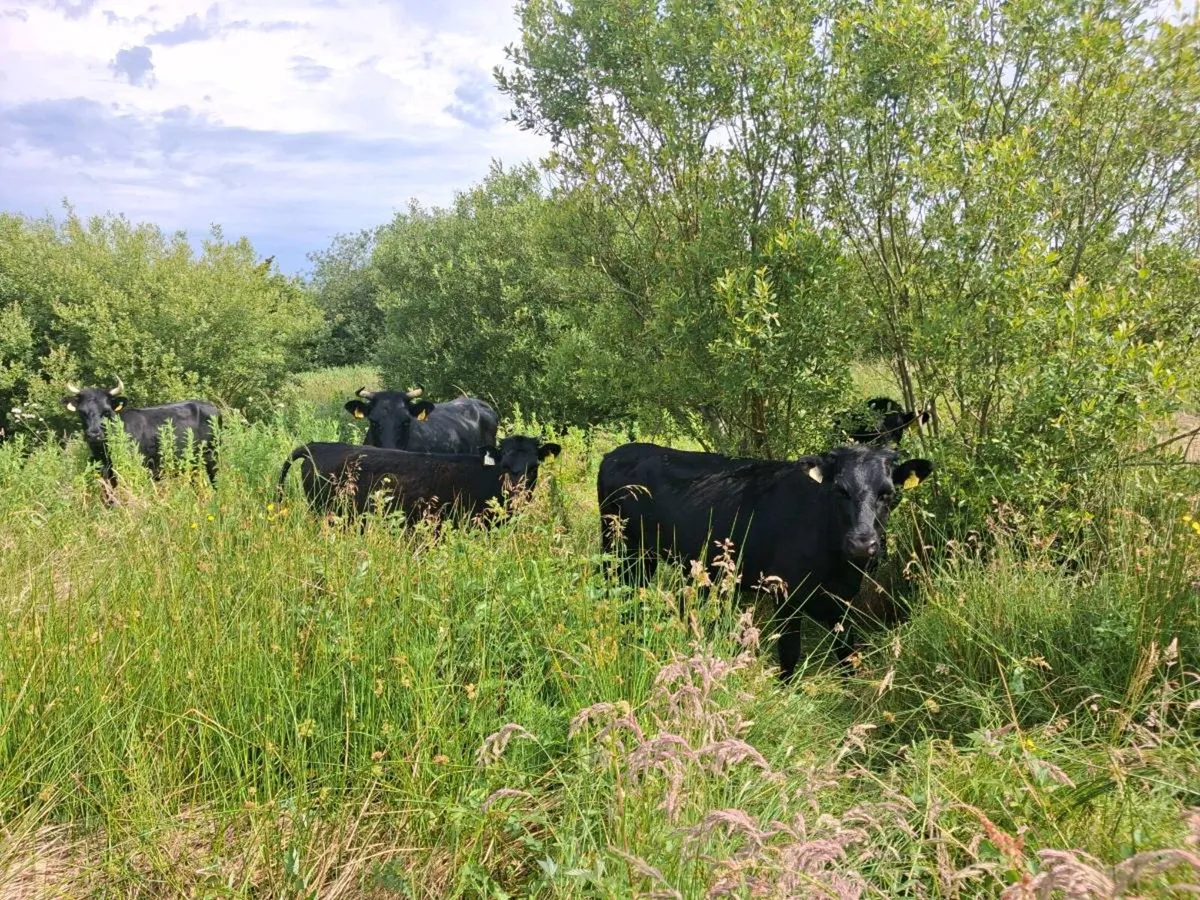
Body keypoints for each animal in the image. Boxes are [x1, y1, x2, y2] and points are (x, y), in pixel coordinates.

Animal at [62, 377, 221, 491]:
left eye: (106, 411)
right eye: (81, 412)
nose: (94, 435)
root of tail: (211, 407)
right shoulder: (107, 472)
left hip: (212, 456)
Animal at [597, 442, 933, 680]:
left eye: (887, 493)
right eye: (840, 490)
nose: (863, 543)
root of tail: (618, 453)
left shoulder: (844, 598)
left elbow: (848, 653)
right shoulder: (785, 592)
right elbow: (789, 652)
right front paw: (785, 693)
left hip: (644, 556)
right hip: (618, 547)